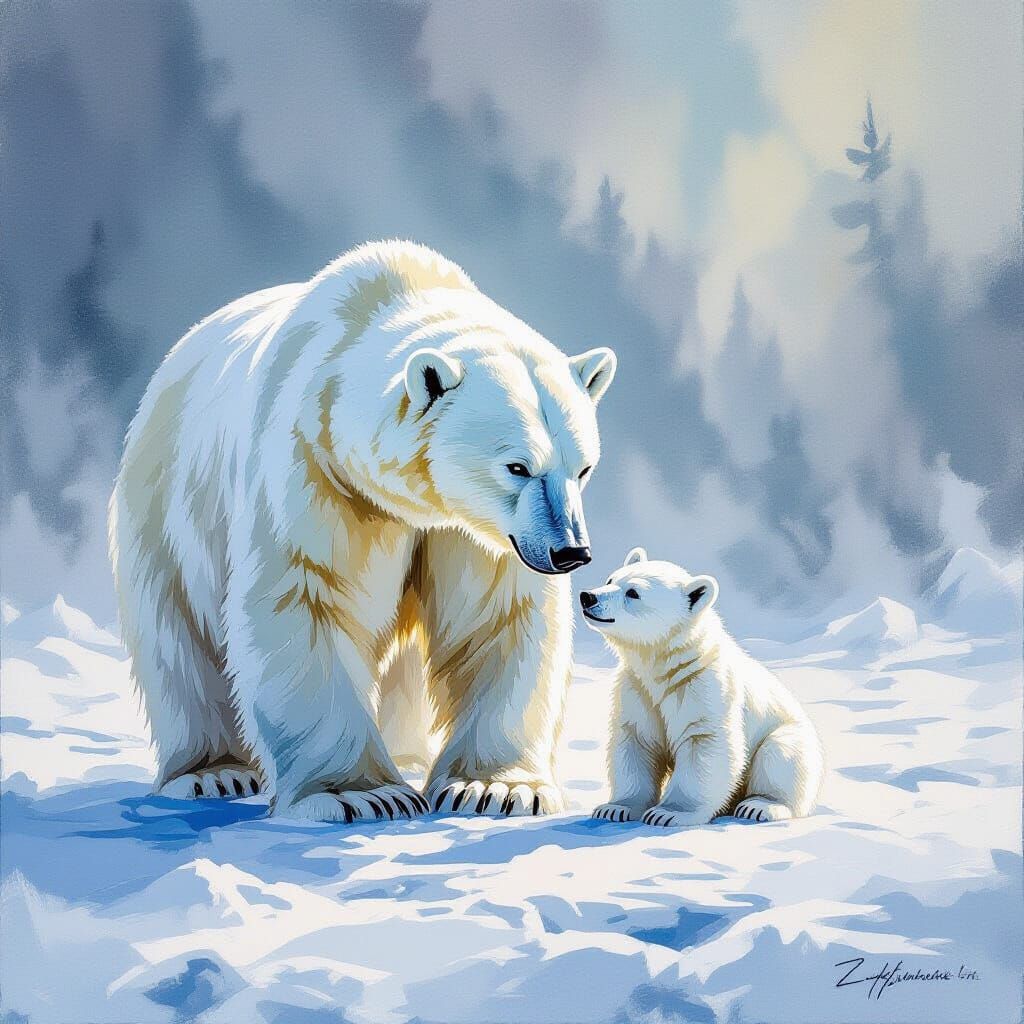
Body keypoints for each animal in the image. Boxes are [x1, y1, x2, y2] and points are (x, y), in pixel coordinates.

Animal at [109, 240, 616, 822]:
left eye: (583, 468)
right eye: (517, 466)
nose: (571, 552)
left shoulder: (472, 532)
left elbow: (496, 617)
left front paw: (496, 788)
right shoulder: (315, 471)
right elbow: (305, 599)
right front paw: (360, 794)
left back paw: (408, 754)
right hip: (168, 501)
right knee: (179, 636)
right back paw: (213, 772)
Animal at [580, 548, 823, 826]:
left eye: (633, 592)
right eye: (611, 579)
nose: (588, 596)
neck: (663, 664)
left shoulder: (703, 687)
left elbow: (704, 745)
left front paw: (668, 813)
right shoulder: (637, 689)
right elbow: (636, 742)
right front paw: (615, 808)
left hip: (791, 736)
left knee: (781, 757)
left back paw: (759, 806)